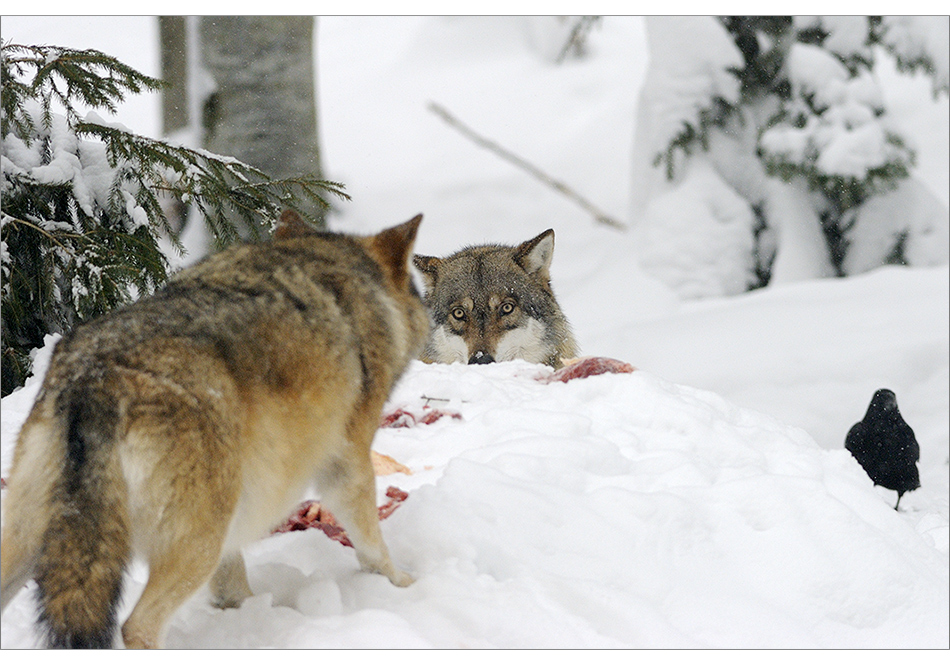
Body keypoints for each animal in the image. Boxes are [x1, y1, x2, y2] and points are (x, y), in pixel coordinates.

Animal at [0, 211, 430, 644]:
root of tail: (93, 378)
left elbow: (232, 583)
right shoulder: (346, 462)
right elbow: (372, 545)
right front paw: (403, 584)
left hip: (33, 541)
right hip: (199, 541)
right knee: (137, 626)